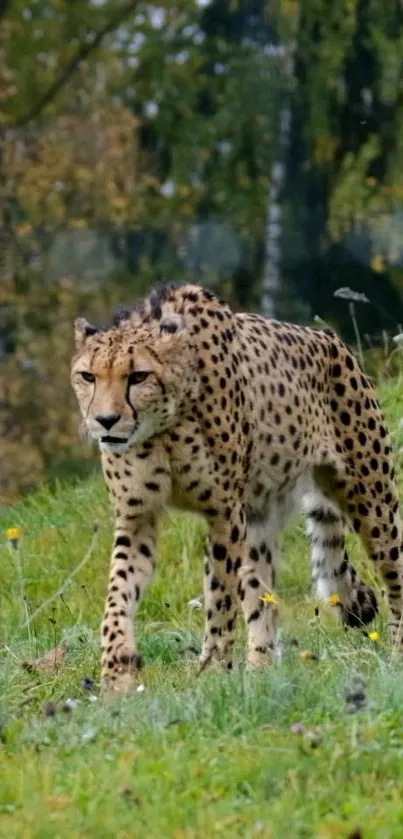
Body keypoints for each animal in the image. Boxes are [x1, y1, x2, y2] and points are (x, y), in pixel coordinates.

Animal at [71, 286, 402, 692]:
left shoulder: (224, 514)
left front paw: (212, 671)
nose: (104, 420)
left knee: (395, 570)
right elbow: (118, 594)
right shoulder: (138, 517)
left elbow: (220, 598)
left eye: (138, 376)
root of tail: (331, 340)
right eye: (88, 376)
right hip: (260, 522)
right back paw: (261, 672)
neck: (163, 427)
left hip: (371, 499)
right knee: (264, 596)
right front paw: (117, 670)